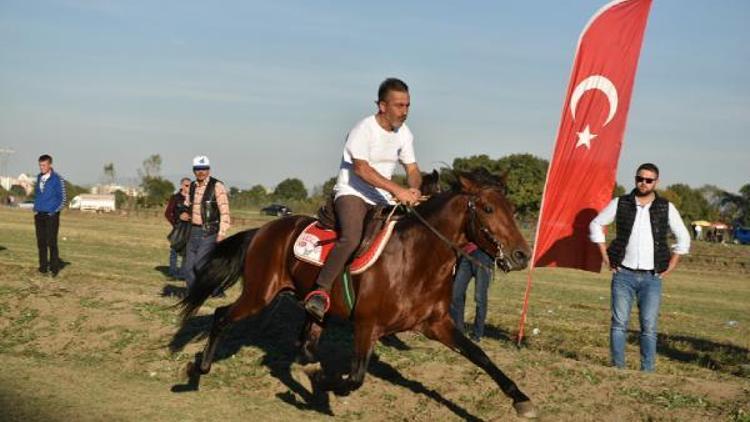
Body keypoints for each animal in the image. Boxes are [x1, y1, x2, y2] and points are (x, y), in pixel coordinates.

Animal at [179, 169, 536, 418]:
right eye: (487, 208)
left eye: (512, 208)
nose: (522, 255)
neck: (416, 259)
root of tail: (263, 230)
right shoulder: (367, 325)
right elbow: (356, 377)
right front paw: (321, 381)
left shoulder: (437, 325)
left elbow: (480, 355)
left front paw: (521, 398)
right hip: (259, 294)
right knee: (222, 316)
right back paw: (198, 371)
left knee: (306, 337)